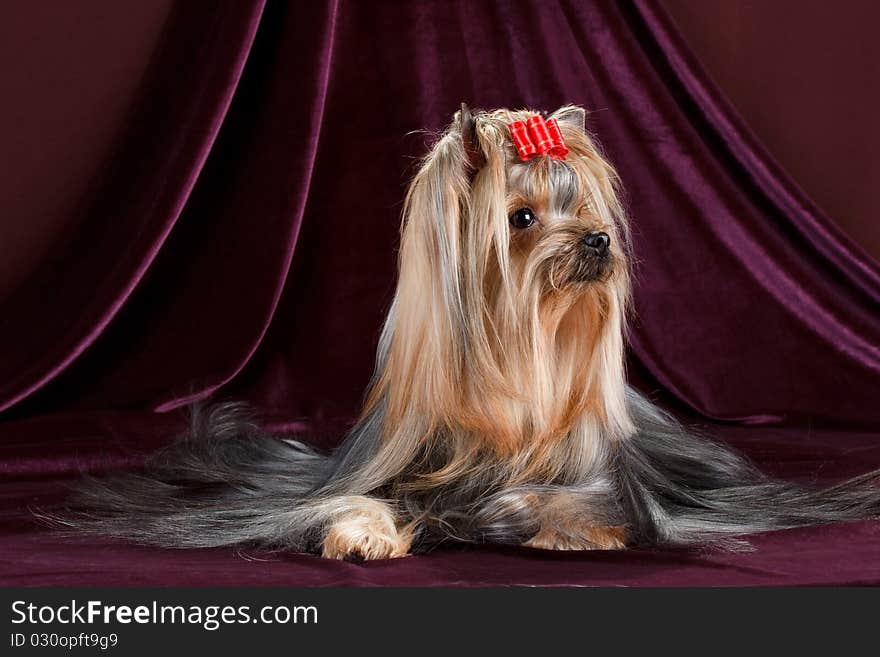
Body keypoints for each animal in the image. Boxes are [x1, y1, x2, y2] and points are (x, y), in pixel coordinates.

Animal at [58, 102, 876, 560]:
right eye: (521, 218)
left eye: (586, 208)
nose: (598, 241)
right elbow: (343, 503)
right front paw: (364, 534)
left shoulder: (601, 480)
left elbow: (578, 501)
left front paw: (539, 519)